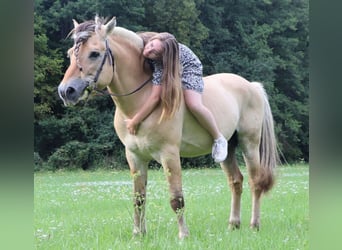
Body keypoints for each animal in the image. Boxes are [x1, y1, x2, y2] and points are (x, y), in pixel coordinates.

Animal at [57, 15, 280, 238]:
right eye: (70, 54)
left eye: (94, 53)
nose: (66, 91)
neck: (141, 101)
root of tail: (251, 86)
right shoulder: (135, 157)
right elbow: (139, 198)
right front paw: (138, 234)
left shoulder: (169, 155)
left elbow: (176, 198)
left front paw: (183, 234)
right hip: (228, 149)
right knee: (235, 181)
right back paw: (233, 224)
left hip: (249, 145)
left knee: (255, 182)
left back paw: (254, 225)